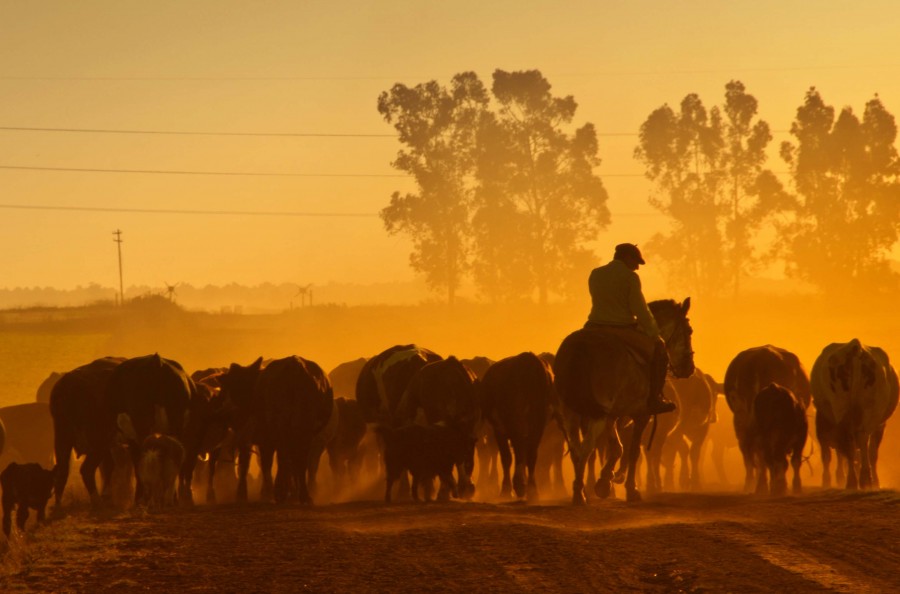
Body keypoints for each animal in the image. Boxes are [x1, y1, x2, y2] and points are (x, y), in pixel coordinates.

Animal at [556, 298, 696, 502]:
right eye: (689, 331)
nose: (689, 367)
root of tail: (581, 349)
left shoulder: (612, 415)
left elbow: (617, 448)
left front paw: (606, 480)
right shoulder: (641, 414)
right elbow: (633, 452)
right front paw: (631, 488)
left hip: (571, 413)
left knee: (576, 450)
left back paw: (580, 489)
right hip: (595, 415)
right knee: (586, 448)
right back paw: (579, 494)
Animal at [812, 340, 896, 488]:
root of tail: (855, 347)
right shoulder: (880, 424)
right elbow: (872, 452)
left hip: (843, 409)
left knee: (850, 443)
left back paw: (854, 480)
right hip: (862, 409)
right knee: (858, 441)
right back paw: (861, 479)